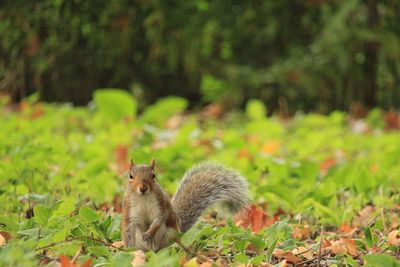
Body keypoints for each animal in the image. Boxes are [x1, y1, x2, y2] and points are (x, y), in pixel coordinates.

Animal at [120, 158, 248, 252]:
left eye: (154, 175)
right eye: (130, 176)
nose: (143, 188)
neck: (143, 197)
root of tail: (154, 249)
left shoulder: (161, 203)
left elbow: (161, 217)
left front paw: (150, 232)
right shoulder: (128, 207)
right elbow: (128, 226)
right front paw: (129, 252)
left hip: (171, 234)